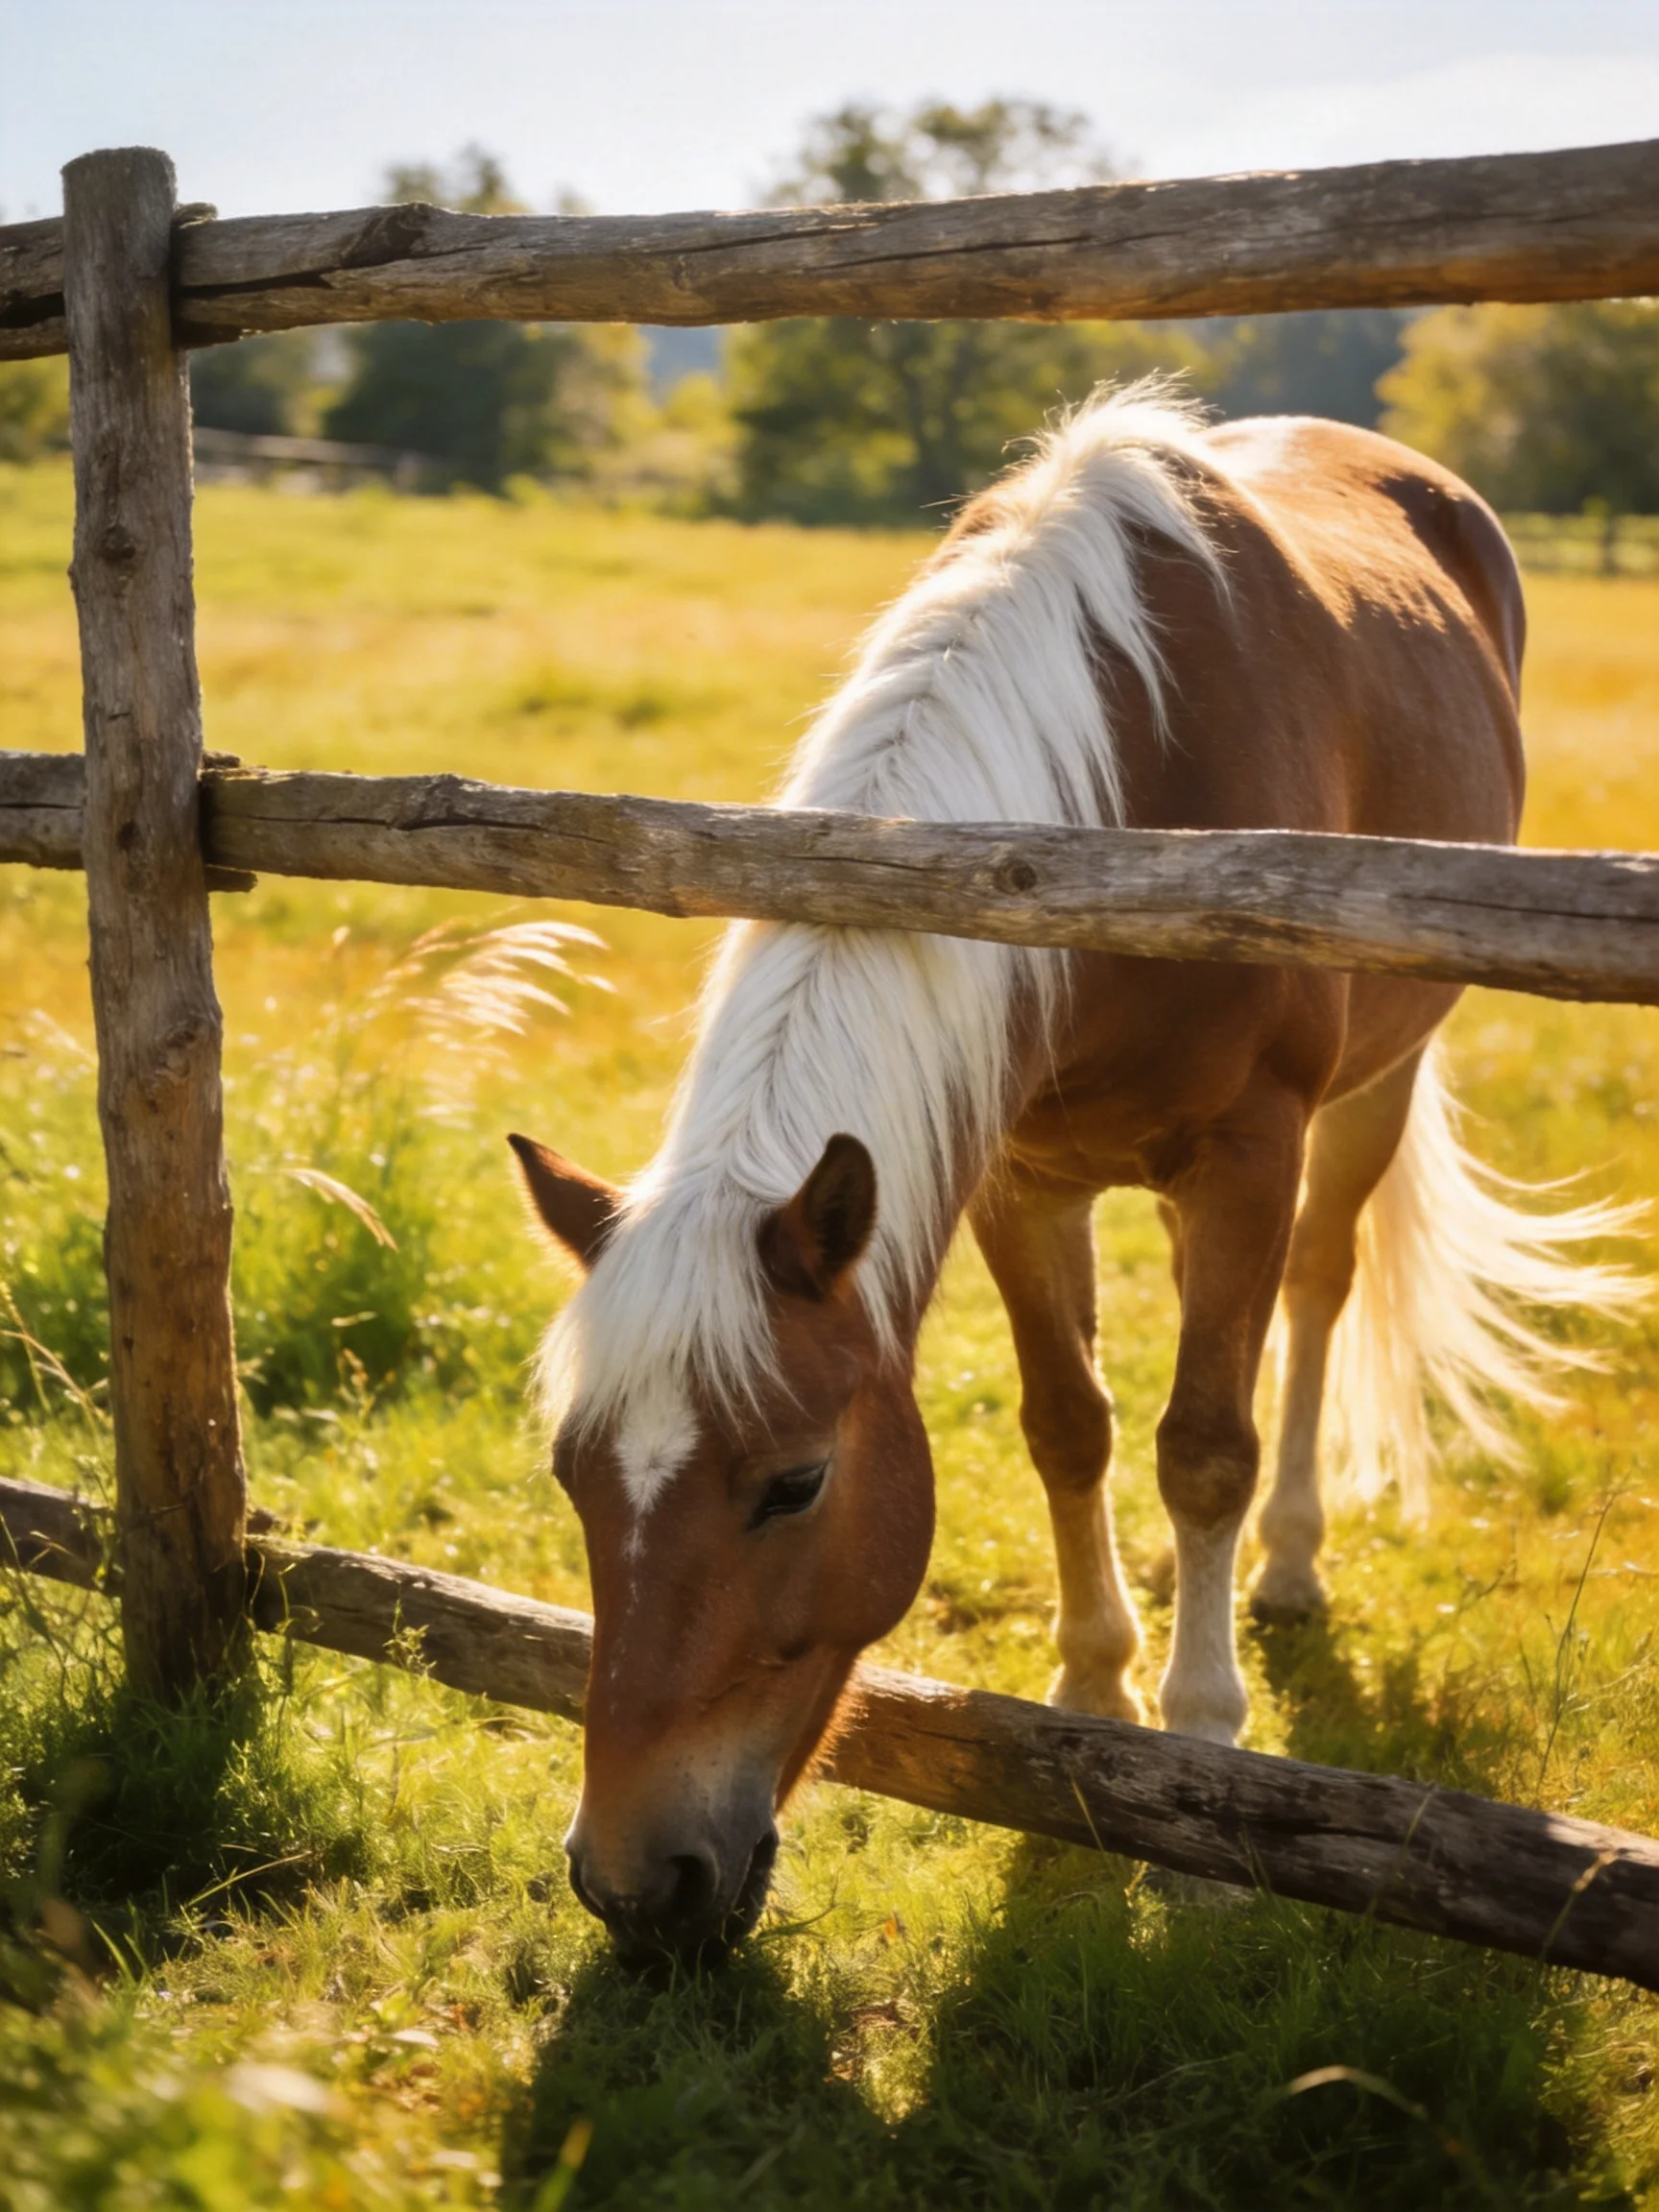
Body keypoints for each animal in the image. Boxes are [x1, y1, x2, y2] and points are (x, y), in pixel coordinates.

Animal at [509, 387, 1634, 1962]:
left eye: (795, 1485)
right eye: (573, 1474)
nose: (633, 1884)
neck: (1116, 803)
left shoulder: (1249, 1154)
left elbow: (1204, 1447)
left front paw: (1204, 1767)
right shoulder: (1018, 1177)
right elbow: (1071, 1429)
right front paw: (1092, 1704)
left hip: (1374, 1089)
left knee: (1316, 1296)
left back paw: (1287, 1566)